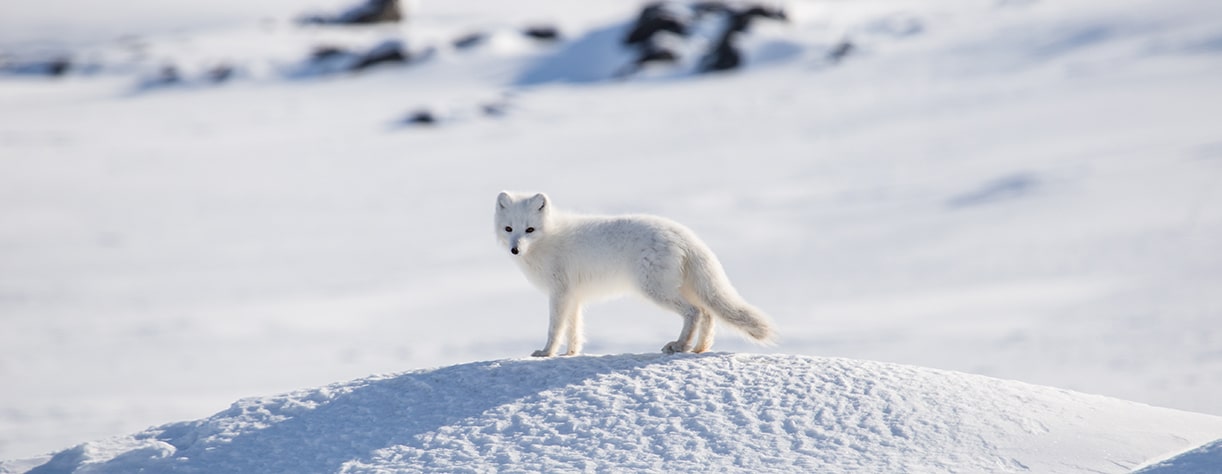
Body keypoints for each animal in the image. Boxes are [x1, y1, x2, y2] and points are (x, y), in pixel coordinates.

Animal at [494, 191, 776, 357]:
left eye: (530, 229)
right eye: (509, 228)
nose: (515, 249)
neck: (549, 238)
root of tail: (684, 235)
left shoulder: (559, 294)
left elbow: (555, 328)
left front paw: (546, 353)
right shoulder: (573, 297)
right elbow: (574, 330)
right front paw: (571, 354)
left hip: (654, 289)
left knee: (694, 312)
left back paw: (679, 345)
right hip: (682, 287)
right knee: (707, 313)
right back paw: (698, 349)